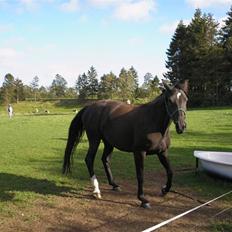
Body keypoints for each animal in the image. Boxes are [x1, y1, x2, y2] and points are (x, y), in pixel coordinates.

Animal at [63, 80, 188, 208]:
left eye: (186, 100)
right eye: (170, 100)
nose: (181, 126)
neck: (153, 122)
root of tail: (90, 107)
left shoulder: (162, 152)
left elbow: (170, 172)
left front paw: (164, 189)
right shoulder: (139, 152)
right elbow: (140, 175)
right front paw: (143, 199)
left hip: (109, 143)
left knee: (105, 159)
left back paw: (114, 185)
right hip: (95, 140)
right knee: (89, 159)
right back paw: (96, 190)